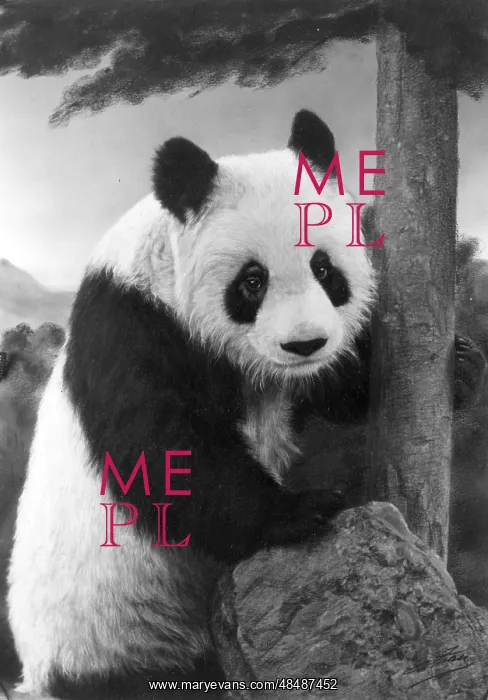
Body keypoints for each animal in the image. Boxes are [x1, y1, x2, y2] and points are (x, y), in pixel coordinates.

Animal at [7, 110, 485, 697]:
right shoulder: (128, 326)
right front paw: (303, 510)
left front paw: (460, 365)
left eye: (325, 270)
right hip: (112, 637)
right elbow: (164, 451)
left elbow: (333, 389)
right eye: (252, 282)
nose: (306, 343)